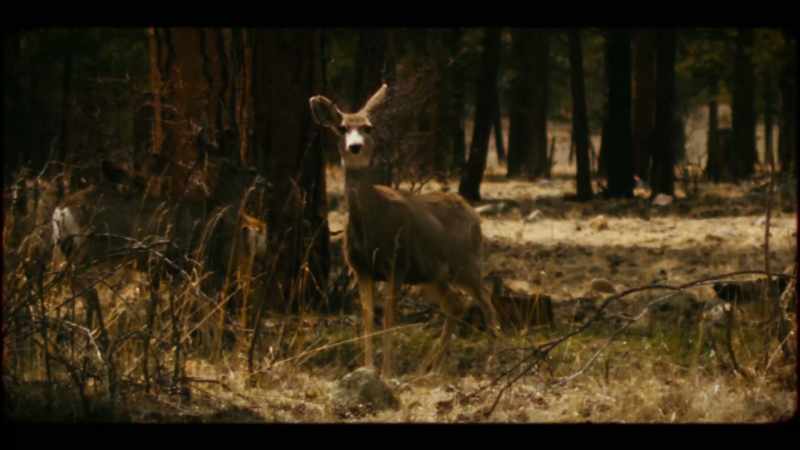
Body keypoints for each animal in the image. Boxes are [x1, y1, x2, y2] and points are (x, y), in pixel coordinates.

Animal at [309, 84, 501, 377]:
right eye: (341, 128)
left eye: (369, 127)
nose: (355, 147)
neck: (372, 223)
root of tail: (472, 212)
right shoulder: (361, 267)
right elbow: (368, 317)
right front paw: (368, 368)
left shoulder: (396, 263)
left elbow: (390, 316)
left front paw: (388, 371)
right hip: (432, 274)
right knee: (456, 302)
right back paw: (429, 368)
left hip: (466, 263)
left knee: (486, 301)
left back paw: (492, 362)